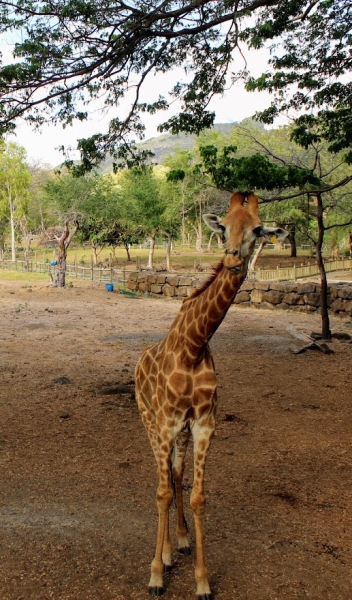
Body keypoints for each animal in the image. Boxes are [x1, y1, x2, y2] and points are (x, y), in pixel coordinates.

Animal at [135, 191, 288, 596]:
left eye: (257, 229)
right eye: (224, 228)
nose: (233, 258)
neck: (192, 346)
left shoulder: (204, 423)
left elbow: (197, 496)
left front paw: (202, 581)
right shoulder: (166, 422)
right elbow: (161, 493)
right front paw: (155, 575)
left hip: (181, 432)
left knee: (176, 474)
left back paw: (179, 544)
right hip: (149, 421)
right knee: (164, 481)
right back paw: (165, 557)